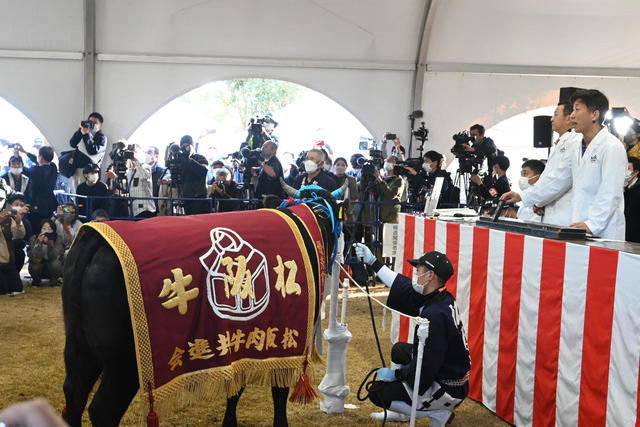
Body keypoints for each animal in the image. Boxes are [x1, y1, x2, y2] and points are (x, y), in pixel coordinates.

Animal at [62, 186, 342, 427]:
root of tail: (96, 241)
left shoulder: (243, 340)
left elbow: (235, 386)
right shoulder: (291, 335)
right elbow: (279, 390)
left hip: (79, 347)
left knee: (73, 395)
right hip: (124, 363)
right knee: (102, 409)